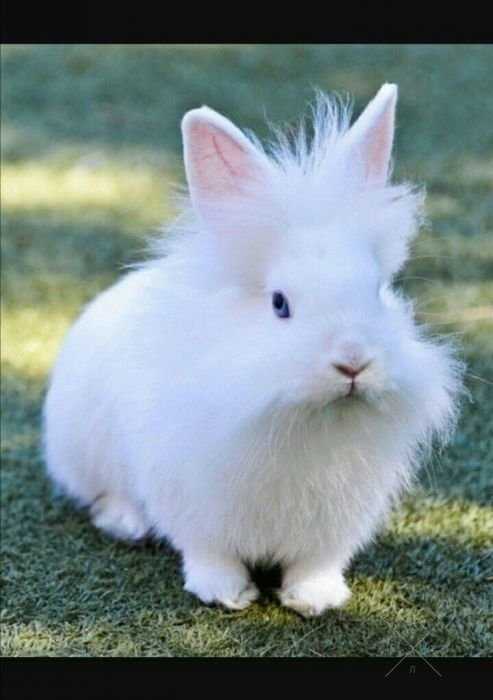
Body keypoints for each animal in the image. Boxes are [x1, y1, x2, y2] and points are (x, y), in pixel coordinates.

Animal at [43, 84, 463, 617]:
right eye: (279, 303)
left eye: (377, 291)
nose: (352, 362)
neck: (304, 421)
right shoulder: (190, 499)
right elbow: (208, 552)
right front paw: (226, 593)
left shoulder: (338, 521)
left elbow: (317, 562)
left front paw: (316, 598)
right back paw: (127, 523)